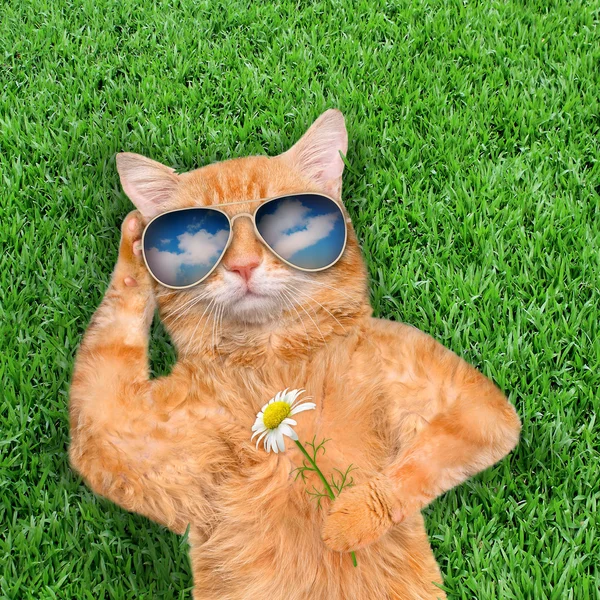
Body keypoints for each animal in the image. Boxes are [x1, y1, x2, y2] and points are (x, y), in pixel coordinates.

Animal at [69, 110, 520, 596]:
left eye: (282, 222)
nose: (243, 265)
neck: (275, 362)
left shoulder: (473, 405)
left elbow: (414, 468)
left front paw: (348, 520)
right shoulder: (116, 431)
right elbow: (113, 325)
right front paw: (133, 247)